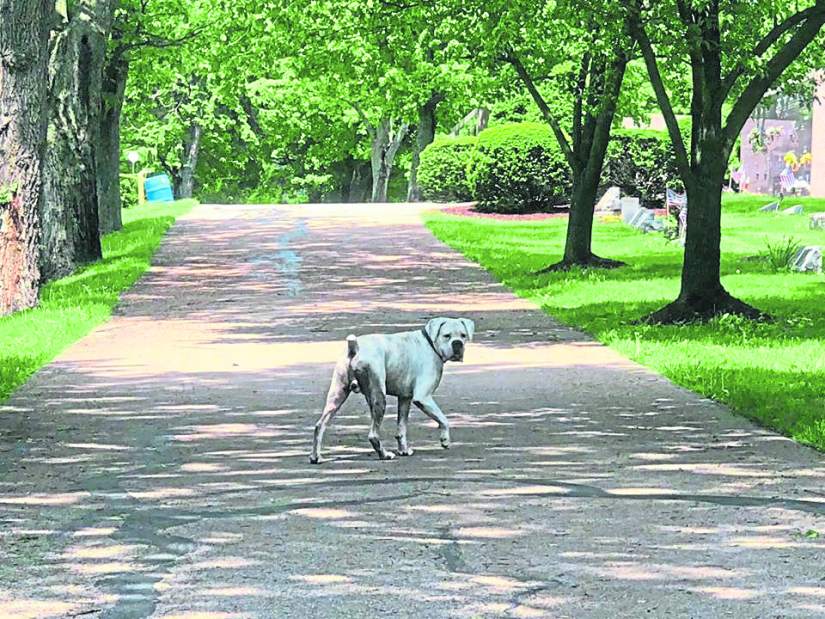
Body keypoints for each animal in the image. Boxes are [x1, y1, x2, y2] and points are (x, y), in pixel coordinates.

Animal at [308, 320, 476, 464]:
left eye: (463, 335)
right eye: (446, 336)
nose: (457, 344)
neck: (430, 343)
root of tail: (354, 348)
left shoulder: (405, 399)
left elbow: (401, 428)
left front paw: (404, 450)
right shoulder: (423, 398)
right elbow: (443, 419)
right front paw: (445, 440)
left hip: (337, 397)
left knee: (319, 425)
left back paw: (316, 457)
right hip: (379, 398)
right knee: (373, 435)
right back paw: (385, 455)